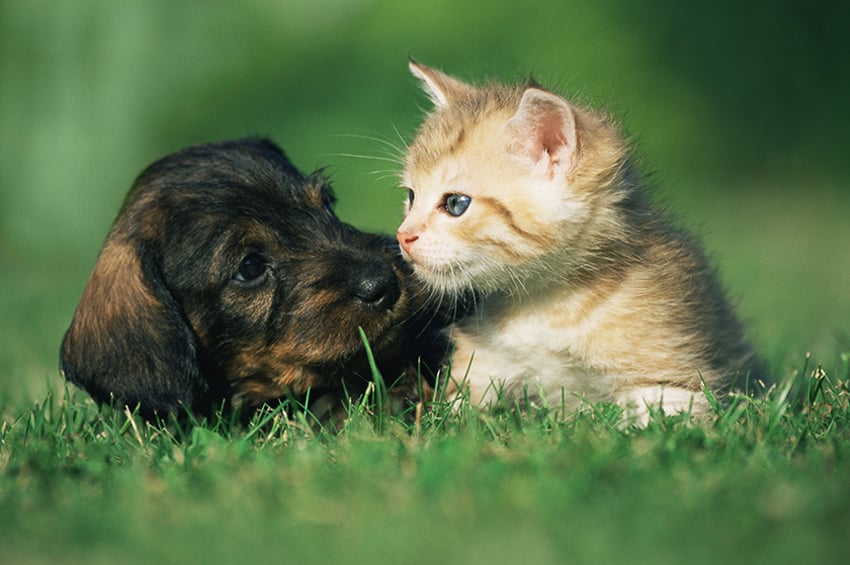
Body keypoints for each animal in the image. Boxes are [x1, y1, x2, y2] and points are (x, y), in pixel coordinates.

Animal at [396, 60, 760, 424]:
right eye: (411, 196)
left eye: (456, 204)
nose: (403, 236)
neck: (541, 305)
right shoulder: (479, 368)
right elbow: (454, 413)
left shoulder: (673, 378)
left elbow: (658, 421)